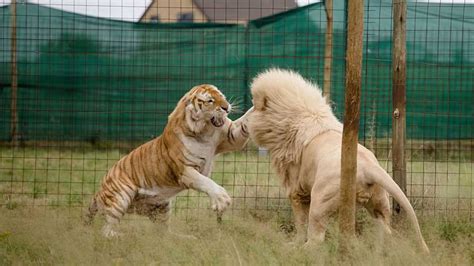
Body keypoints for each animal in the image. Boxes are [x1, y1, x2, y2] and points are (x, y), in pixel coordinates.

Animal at [86, 84, 254, 237]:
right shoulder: (185, 170)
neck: (206, 131)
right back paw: (122, 236)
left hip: (162, 207)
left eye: (222, 96)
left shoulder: (232, 136)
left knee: (163, 234)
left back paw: (184, 238)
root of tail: (99, 190)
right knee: (106, 230)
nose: (226, 107)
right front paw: (221, 200)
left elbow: (246, 119)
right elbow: (206, 182)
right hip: (120, 197)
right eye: (210, 101)